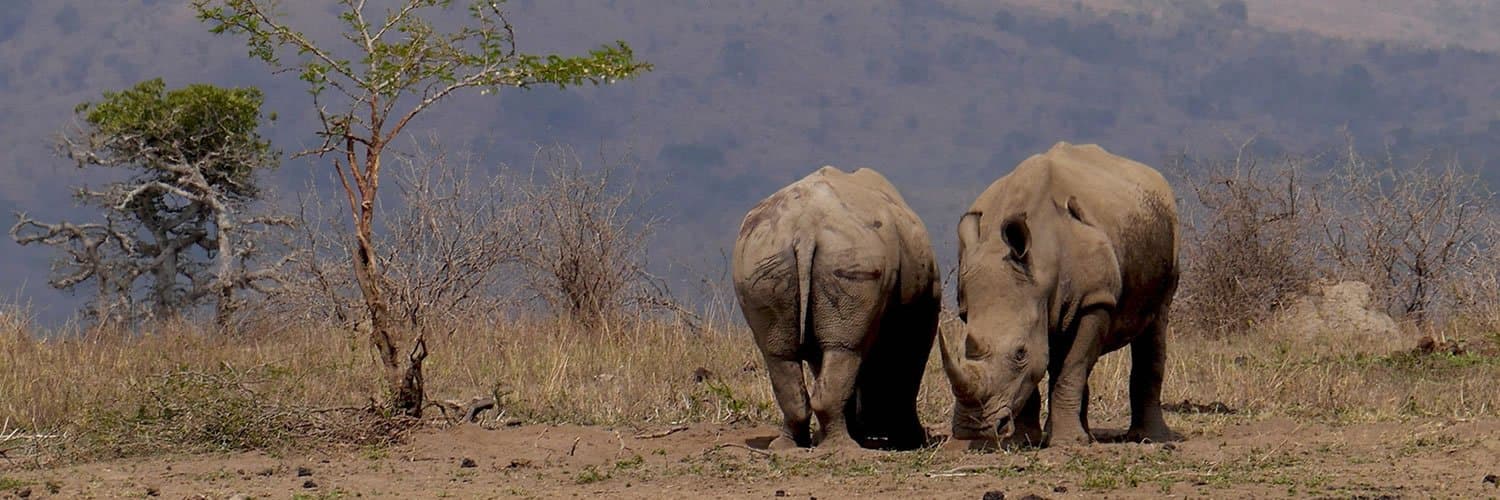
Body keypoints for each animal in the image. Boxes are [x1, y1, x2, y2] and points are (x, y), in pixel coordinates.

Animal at [732, 166, 940, 450]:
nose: (873, 430)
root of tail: (805, 228)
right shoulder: (921, 309)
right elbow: (907, 366)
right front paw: (912, 441)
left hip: (761, 255)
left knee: (782, 354)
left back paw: (789, 447)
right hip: (848, 254)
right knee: (845, 349)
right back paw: (845, 448)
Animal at [941, 142, 1180, 447]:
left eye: (1019, 353)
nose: (974, 429)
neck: (1042, 267)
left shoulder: (1095, 299)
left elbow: (1072, 366)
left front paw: (1066, 443)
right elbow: (1040, 368)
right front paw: (1023, 440)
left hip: (1168, 228)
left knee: (1156, 320)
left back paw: (1148, 439)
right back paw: (1086, 435)